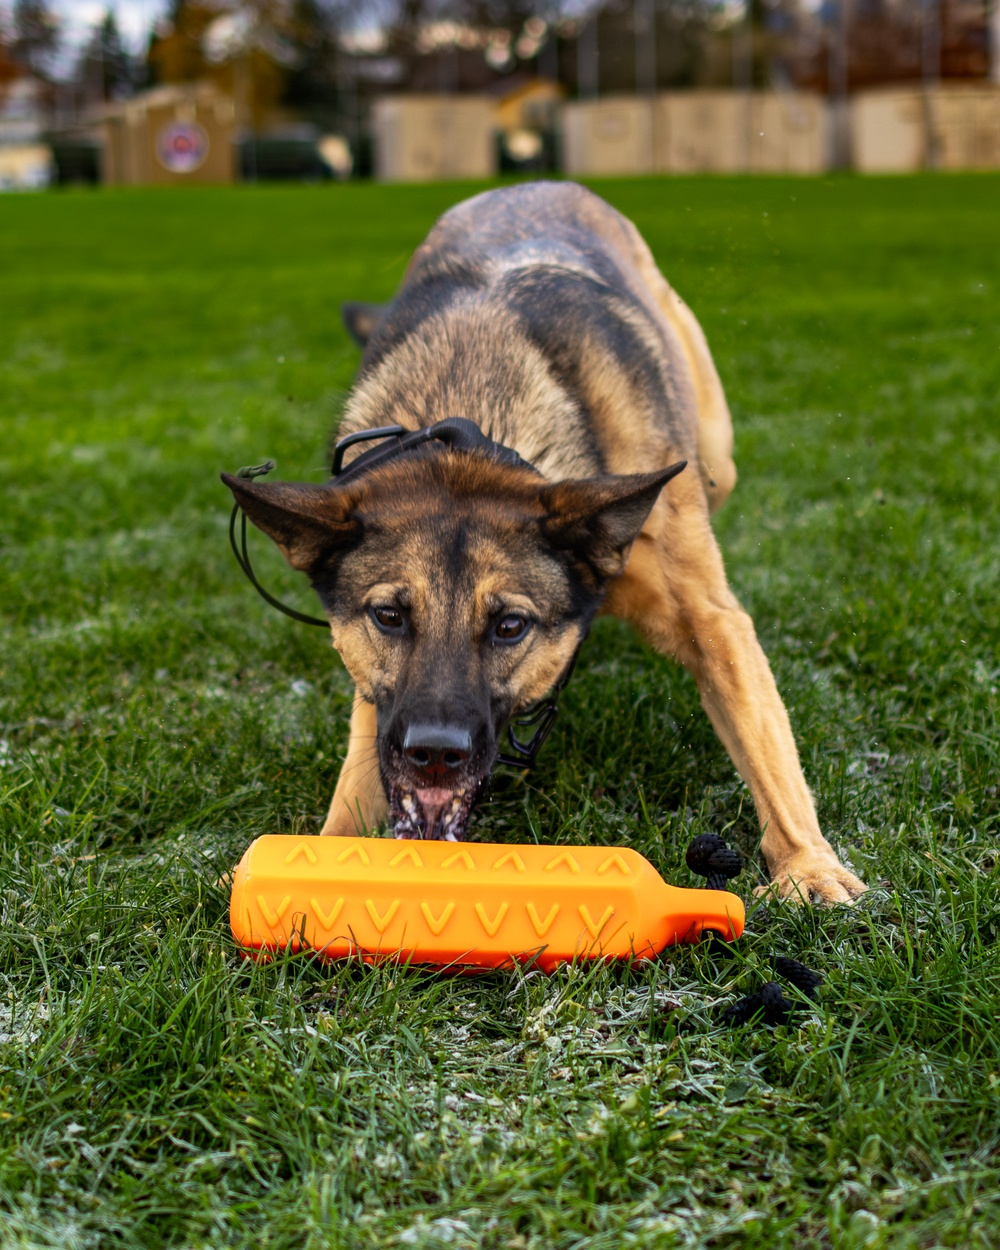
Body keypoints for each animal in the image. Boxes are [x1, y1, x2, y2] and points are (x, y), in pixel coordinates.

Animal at [222, 181, 865, 905]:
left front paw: (806, 866)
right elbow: (355, 788)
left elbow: (765, 746)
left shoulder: (710, 619)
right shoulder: (380, 705)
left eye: (510, 626)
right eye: (388, 617)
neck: (478, 410)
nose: (435, 752)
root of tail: (534, 184)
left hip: (714, 453)